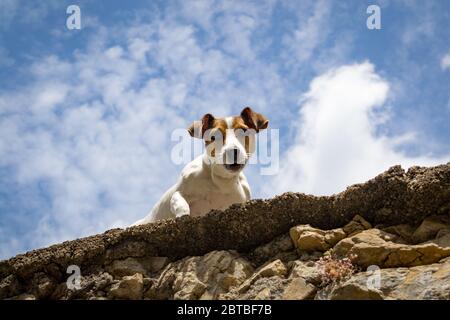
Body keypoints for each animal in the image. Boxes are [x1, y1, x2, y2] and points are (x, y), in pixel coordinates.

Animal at [132, 107, 268, 225]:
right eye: (214, 136)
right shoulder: (179, 191)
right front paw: (183, 217)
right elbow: (180, 203)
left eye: (243, 131)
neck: (222, 180)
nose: (232, 151)